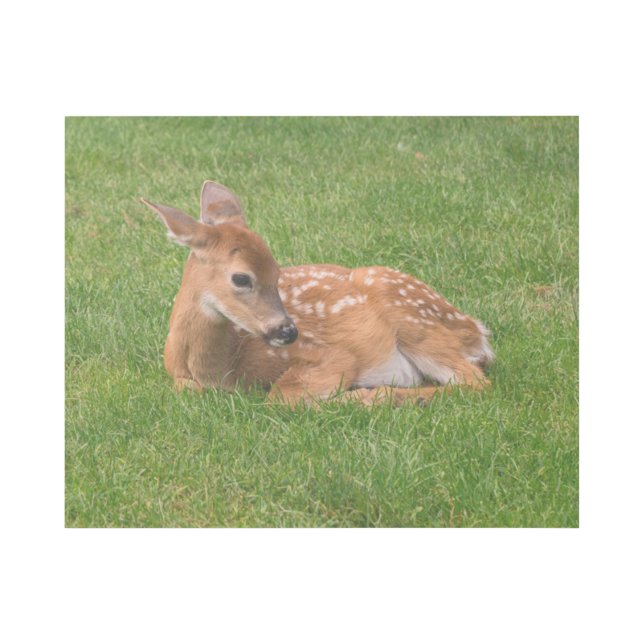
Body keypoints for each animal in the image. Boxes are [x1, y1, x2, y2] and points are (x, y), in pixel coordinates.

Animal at [141, 181, 494, 407]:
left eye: (278, 272)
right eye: (241, 278)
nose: (289, 331)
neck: (222, 367)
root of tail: (476, 331)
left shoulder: (332, 355)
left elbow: (282, 395)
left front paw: (357, 395)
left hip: (414, 320)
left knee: (475, 382)